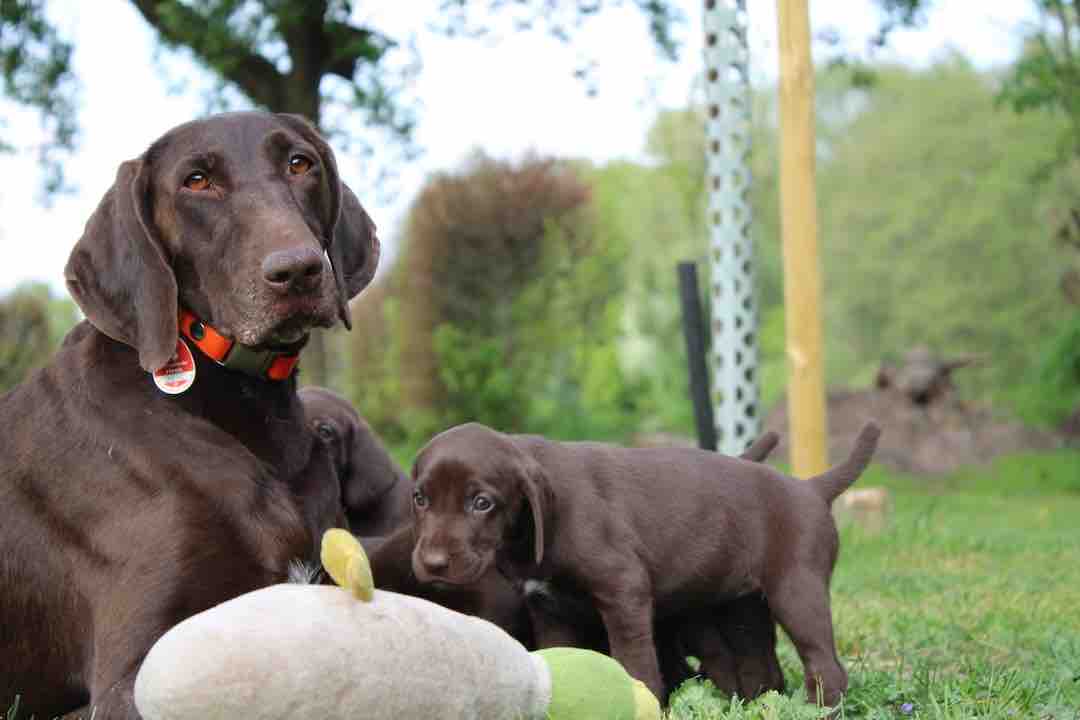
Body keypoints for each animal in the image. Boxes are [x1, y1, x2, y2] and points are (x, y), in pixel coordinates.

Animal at [408, 418, 881, 708]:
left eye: (481, 503)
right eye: (420, 498)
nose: (432, 563)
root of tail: (811, 487)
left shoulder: (624, 591)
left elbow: (634, 663)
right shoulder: (548, 610)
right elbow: (561, 660)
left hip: (796, 592)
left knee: (825, 668)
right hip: (742, 606)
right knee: (761, 667)